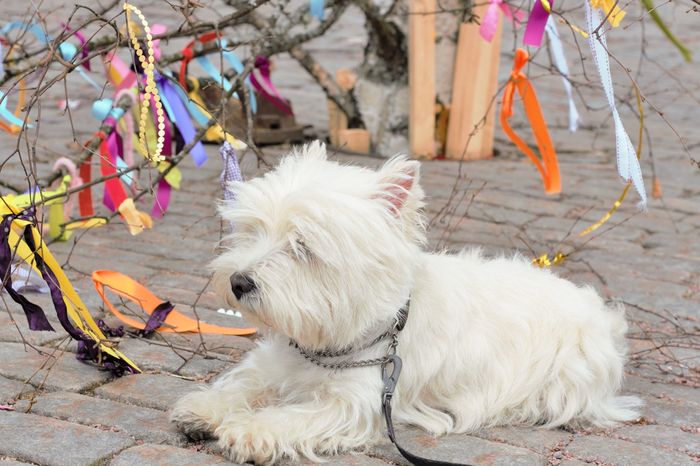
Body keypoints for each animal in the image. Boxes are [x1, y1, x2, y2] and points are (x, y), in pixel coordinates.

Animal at [171, 141, 640, 464]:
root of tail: (602, 317)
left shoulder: (356, 403)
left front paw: (250, 432)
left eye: (302, 247)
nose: (238, 282)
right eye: (253, 231)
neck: (336, 339)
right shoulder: (277, 362)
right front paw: (204, 409)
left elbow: (294, 415)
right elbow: (247, 381)